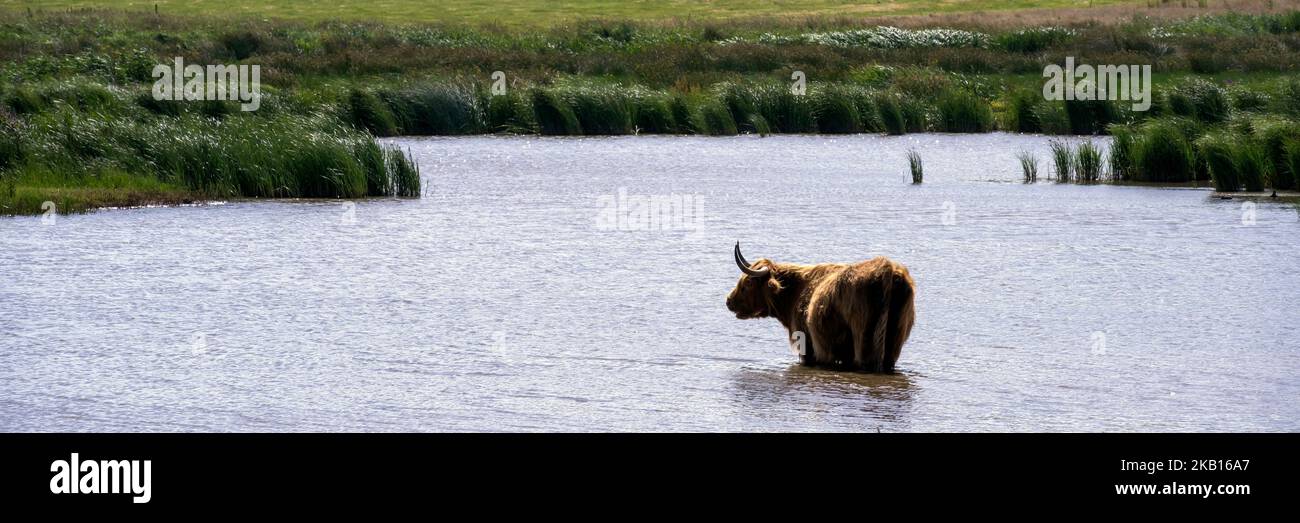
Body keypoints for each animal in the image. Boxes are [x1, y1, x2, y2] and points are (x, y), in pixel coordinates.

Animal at [725, 242, 916, 373]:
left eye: (748, 283)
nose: (728, 301)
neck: (795, 292)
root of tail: (886, 269)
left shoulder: (807, 345)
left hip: (865, 342)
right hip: (893, 344)